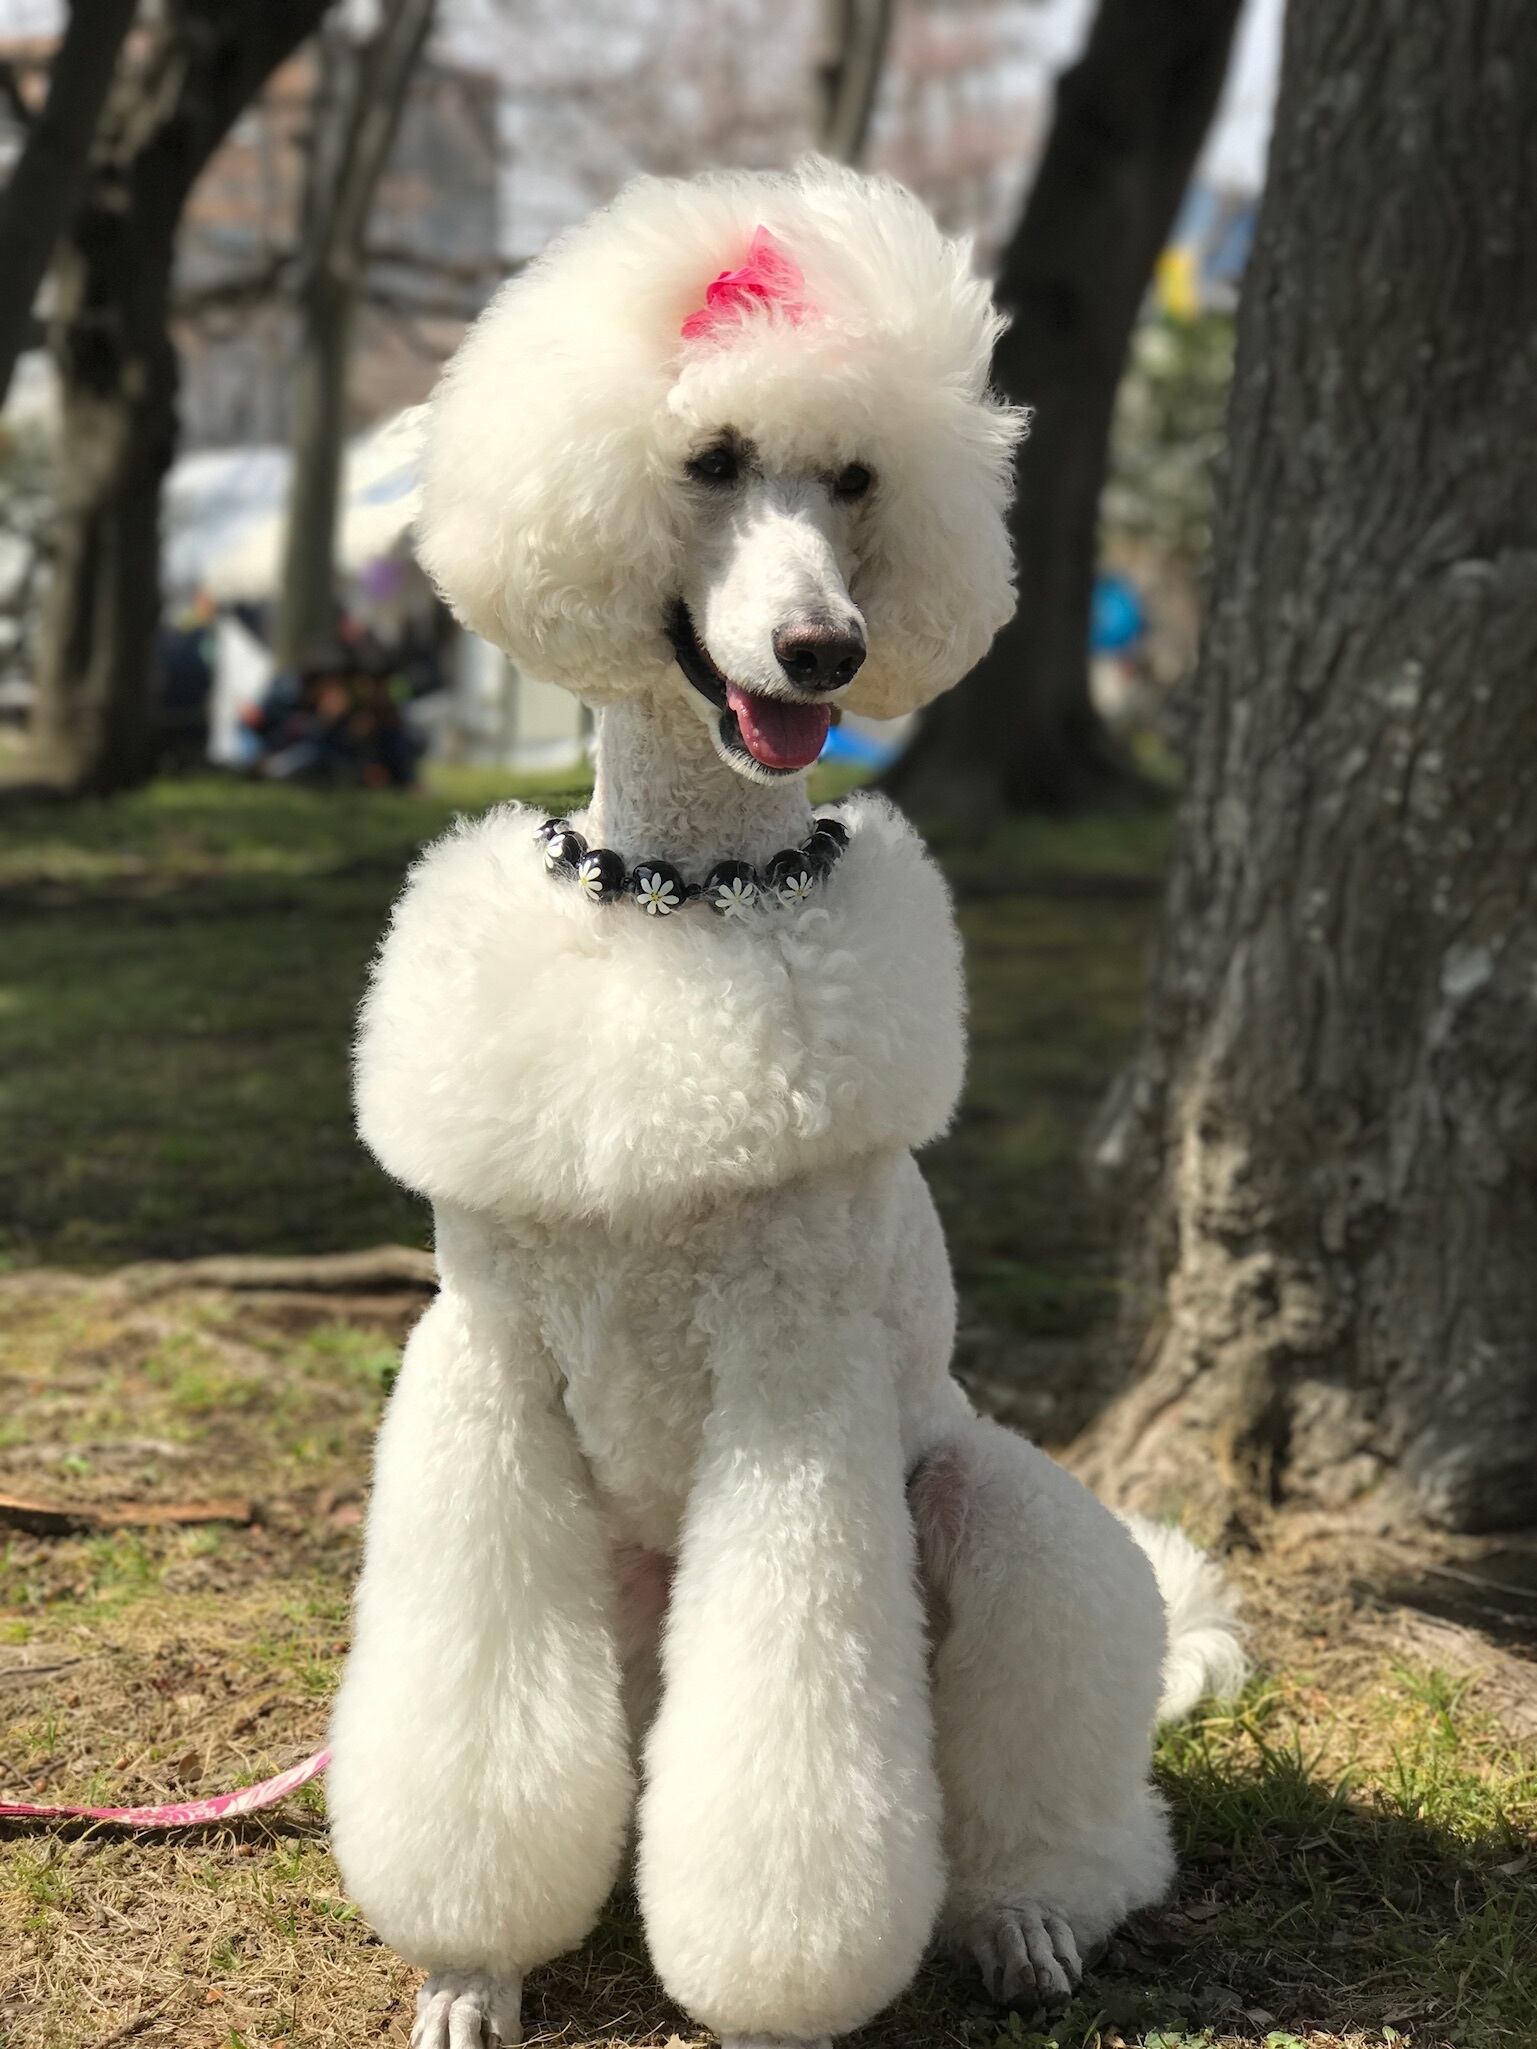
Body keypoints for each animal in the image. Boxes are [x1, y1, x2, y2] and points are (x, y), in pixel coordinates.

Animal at [327, 161, 1246, 2049]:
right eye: (709, 460)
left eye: (857, 480)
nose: (826, 650)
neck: (684, 901)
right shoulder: (485, 1353)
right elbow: (466, 1725)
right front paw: (469, 1961)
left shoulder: (794, 1373)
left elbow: (793, 1728)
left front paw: (775, 1989)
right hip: (616, 1608)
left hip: (998, 1515)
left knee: (1072, 1808)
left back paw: (1024, 1913)